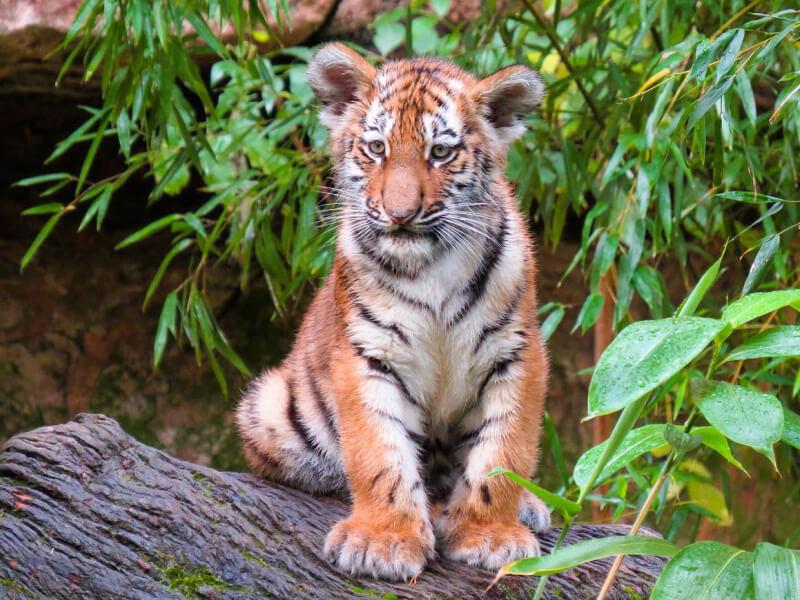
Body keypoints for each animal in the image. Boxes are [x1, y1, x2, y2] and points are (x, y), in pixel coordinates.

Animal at [236, 42, 550, 581]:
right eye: (377, 148)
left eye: (440, 152)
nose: (400, 213)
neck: (433, 266)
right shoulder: (366, 355)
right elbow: (379, 453)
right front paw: (383, 541)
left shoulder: (517, 354)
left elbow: (503, 452)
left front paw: (489, 534)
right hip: (268, 405)